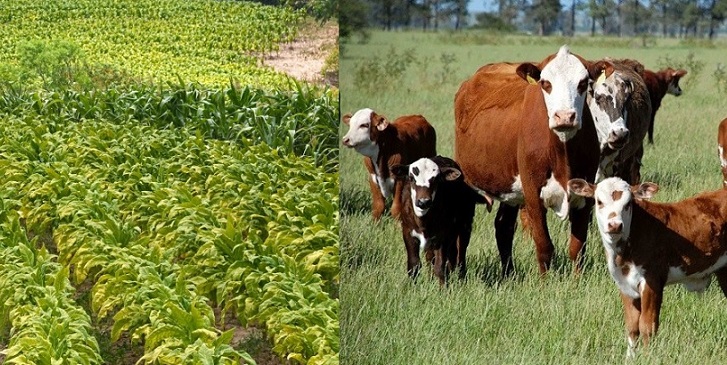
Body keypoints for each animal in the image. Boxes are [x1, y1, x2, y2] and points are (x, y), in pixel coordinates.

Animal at [392, 154, 494, 282]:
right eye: (411, 178)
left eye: (436, 179)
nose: (423, 202)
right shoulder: (407, 232)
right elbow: (414, 265)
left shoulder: (442, 236)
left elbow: (440, 267)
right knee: (435, 257)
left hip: (465, 226)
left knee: (460, 253)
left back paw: (461, 277)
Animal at [458, 44, 604, 272]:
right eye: (545, 83)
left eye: (583, 83)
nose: (565, 116)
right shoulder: (533, 194)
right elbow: (544, 246)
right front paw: (546, 280)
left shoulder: (585, 194)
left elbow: (577, 248)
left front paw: (577, 278)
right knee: (462, 229)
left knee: (503, 227)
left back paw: (509, 273)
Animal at [568, 178, 727, 356]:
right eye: (599, 201)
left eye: (628, 204)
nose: (615, 225)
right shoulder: (624, 285)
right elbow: (632, 327)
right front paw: (630, 358)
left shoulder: (652, 280)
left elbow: (647, 326)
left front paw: (647, 357)